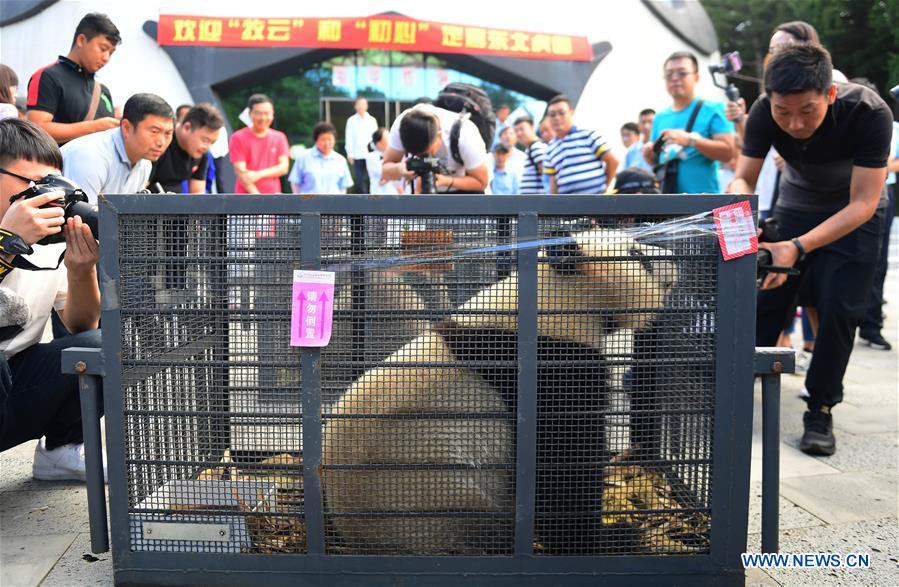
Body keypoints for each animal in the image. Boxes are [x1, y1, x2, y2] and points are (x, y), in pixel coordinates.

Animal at [321, 227, 678, 555]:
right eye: (637, 255)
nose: (674, 259)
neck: (556, 297)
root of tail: (358, 541)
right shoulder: (548, 364)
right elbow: (560, 466)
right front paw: (609, 537)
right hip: (434, 503)